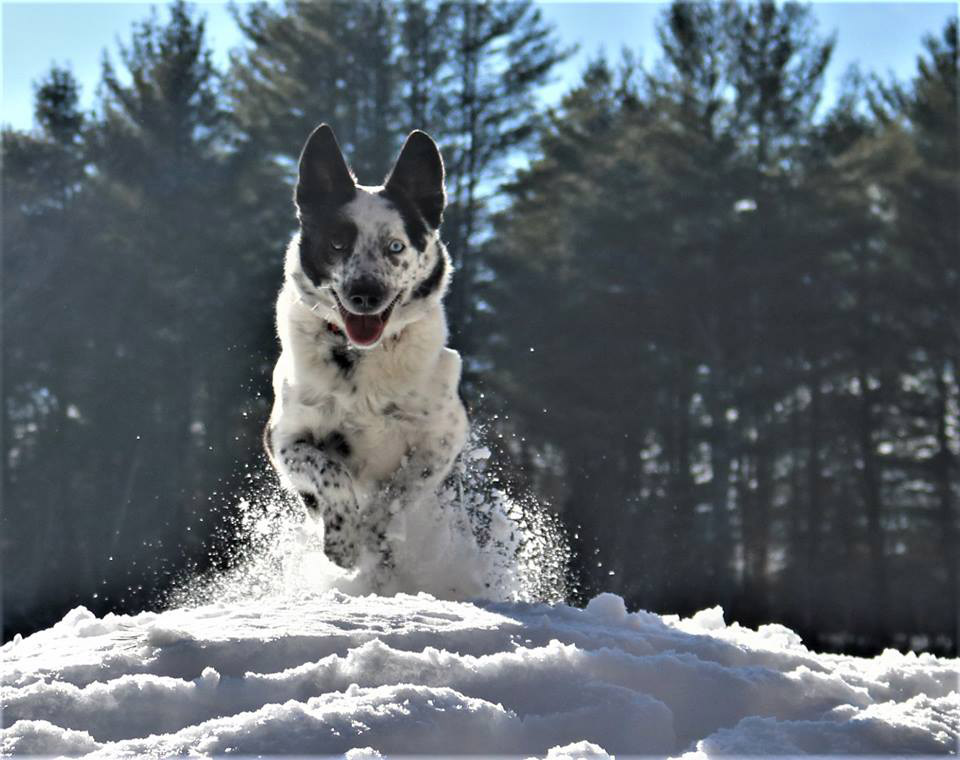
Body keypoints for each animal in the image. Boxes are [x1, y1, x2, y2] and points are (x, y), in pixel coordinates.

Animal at [264, 124, 470, 576]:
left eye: (396, 247)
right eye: (338, 244)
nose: (364, 294)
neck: (365, 355)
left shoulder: (442, 438)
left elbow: (394, 495)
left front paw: (373, 532)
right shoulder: (284, 439)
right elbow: (330, 472)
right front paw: (343, 542)